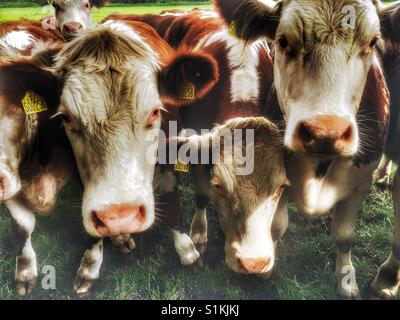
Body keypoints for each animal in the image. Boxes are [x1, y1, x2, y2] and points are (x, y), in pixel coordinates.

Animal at [214, 0, 392, 298]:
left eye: (372, 42)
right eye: (283, 41)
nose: (326, 132)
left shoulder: (359, 184)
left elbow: (344, 237)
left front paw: (346, 281)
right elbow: (276, 226)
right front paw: (266, 271)